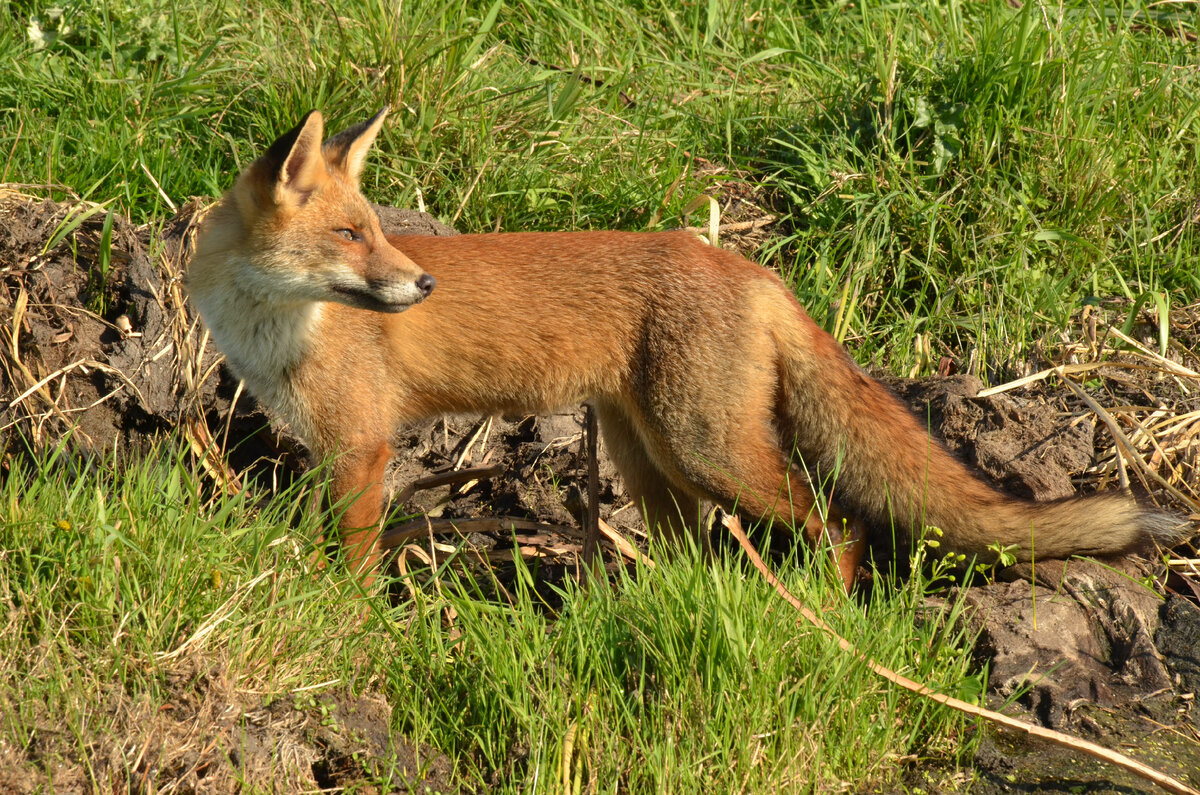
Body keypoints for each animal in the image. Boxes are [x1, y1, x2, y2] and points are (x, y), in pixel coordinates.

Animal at [187, 107, 1180, 590]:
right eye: (350, 234)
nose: (423, 286)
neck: (275, 328)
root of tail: (743, 262)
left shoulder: (361, 447)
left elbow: (351, 563)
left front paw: (349, 620)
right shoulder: (335, 449)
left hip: (708, 449)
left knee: (841, 521)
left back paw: (827, 614)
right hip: (652, 460)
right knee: (701, 550)